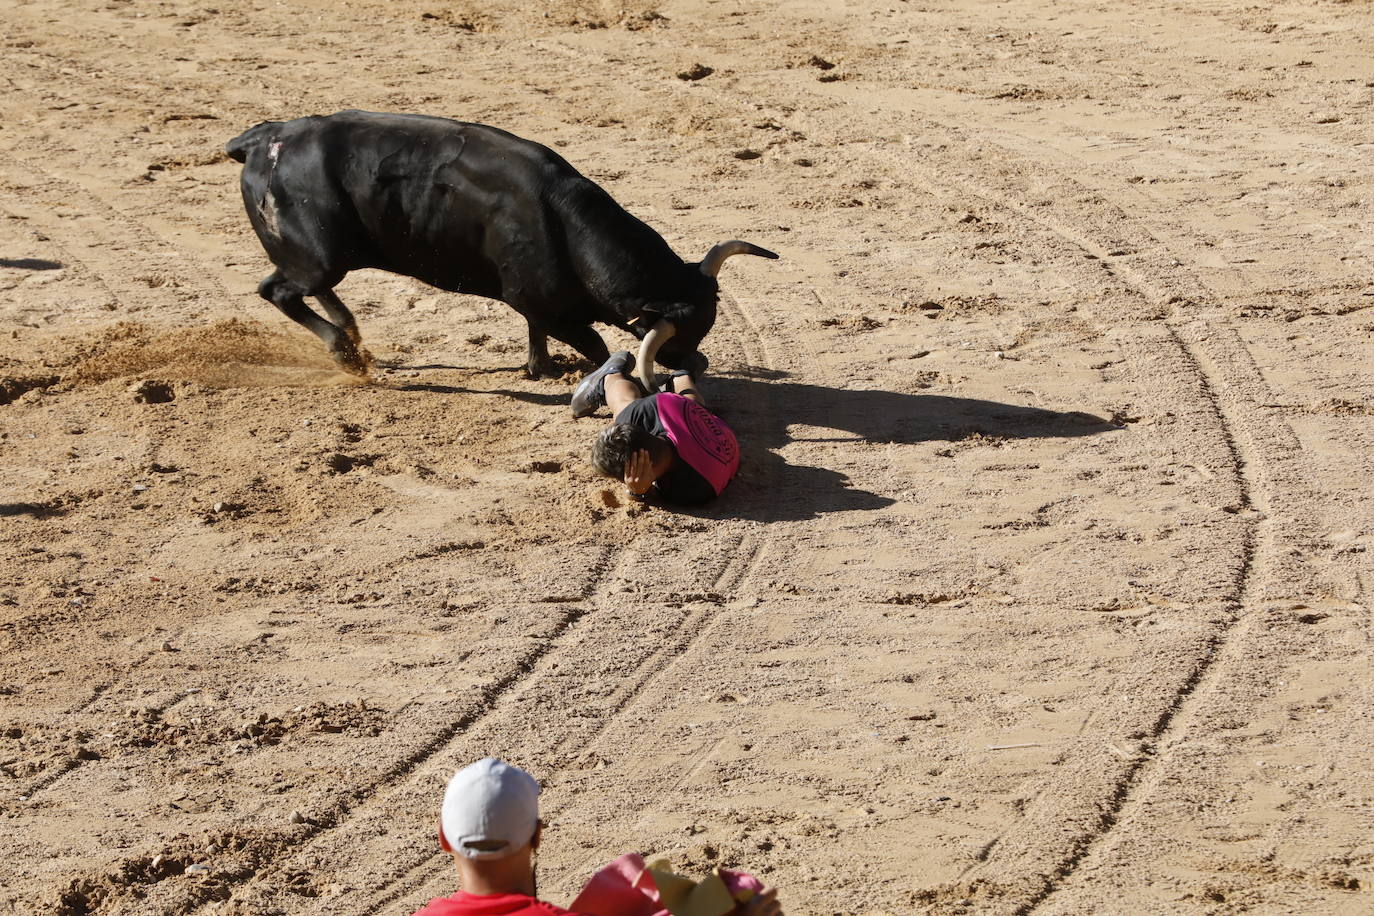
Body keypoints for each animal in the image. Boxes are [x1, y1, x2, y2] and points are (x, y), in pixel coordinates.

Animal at [230, 111, 780, 390]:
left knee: (307, 289)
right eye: (674, 338)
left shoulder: (537, 302)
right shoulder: (543, 304)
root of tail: (265, 138)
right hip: (318, 255)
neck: (561, 221)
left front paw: (541, 368)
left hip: (327, 257)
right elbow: (596, 345)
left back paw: (351, 334)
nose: (696, 364)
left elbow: (537, 330)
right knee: (280, 290)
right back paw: (344, 351)